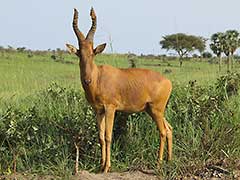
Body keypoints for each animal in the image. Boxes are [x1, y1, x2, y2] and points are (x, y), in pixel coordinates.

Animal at [66, 7, 172, 173]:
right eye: (79, 54)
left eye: (92, 53)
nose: (87, 80)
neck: (98, 76)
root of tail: (168, 81)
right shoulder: (99, 110)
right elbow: (101, 137)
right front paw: (101, 165)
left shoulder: (110, 108)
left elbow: (108, 136)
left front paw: (107, 167)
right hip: (152, 110)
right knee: (169, 129)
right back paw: (169, 160)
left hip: (156, 110)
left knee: (162, 131)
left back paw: (159, 164)